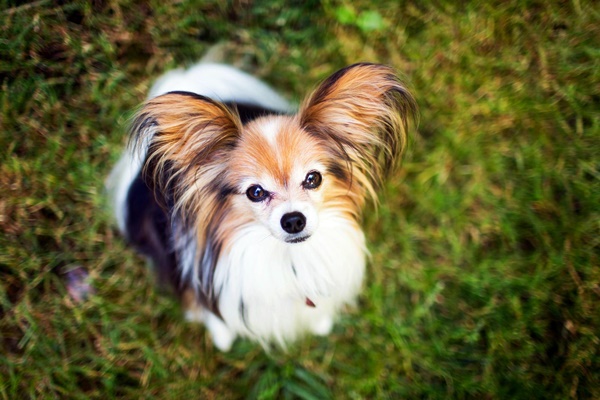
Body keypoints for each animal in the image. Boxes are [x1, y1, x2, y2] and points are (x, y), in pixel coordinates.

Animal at [106, 61, 418, 350]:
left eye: (313, 179)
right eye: (255, 192)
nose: (293, 220)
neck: (287, 257)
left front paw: (321, 324)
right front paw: (222, 338)